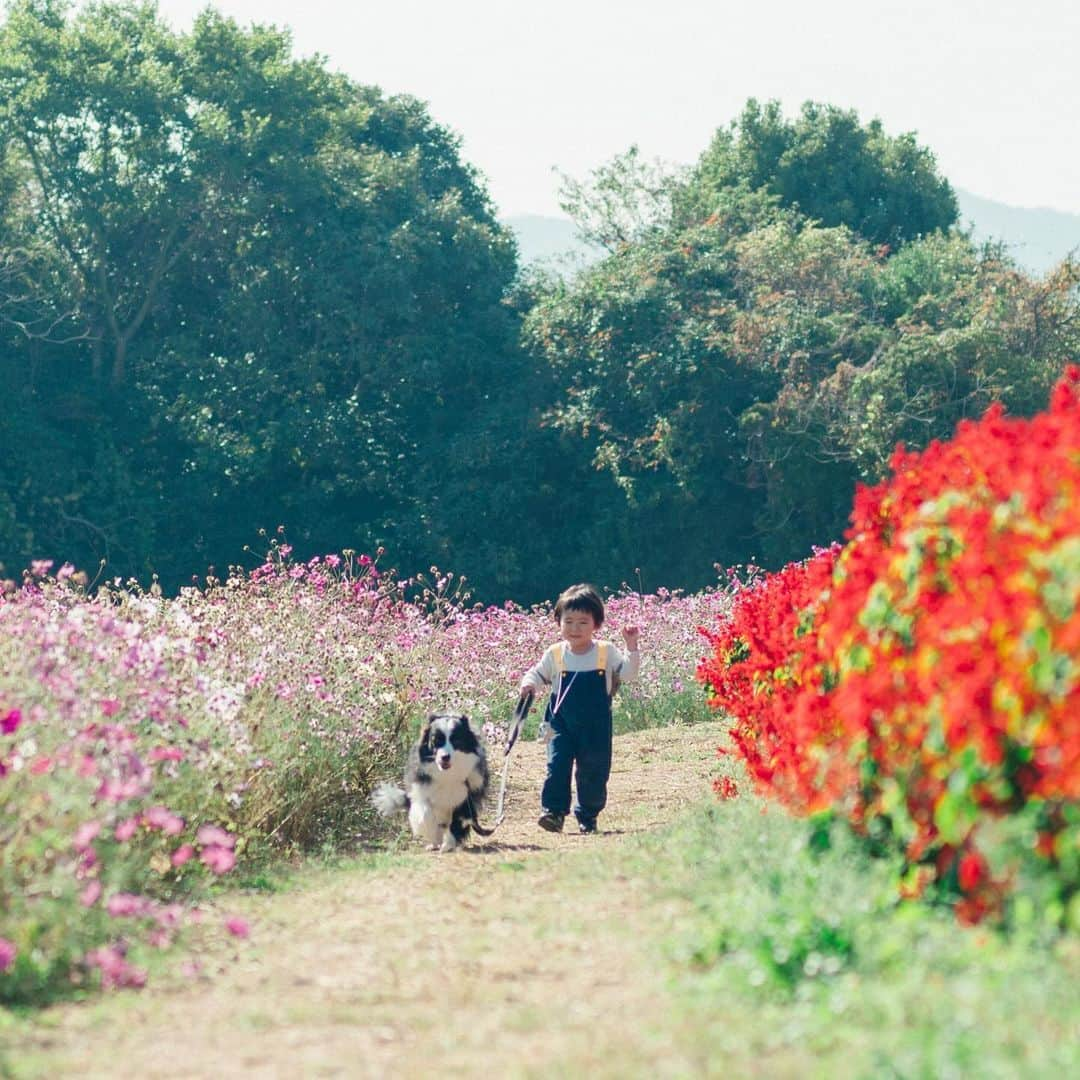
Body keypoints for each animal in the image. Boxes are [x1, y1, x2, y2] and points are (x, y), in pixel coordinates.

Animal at [369, 712, 492, 855]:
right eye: (436, 740)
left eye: (456, 740)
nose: (445, 757)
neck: (446, 774)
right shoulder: (421, 789)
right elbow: (425, 813)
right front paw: (433, 838)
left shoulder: (464, 798)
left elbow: (454, 823)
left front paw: (448, 845)